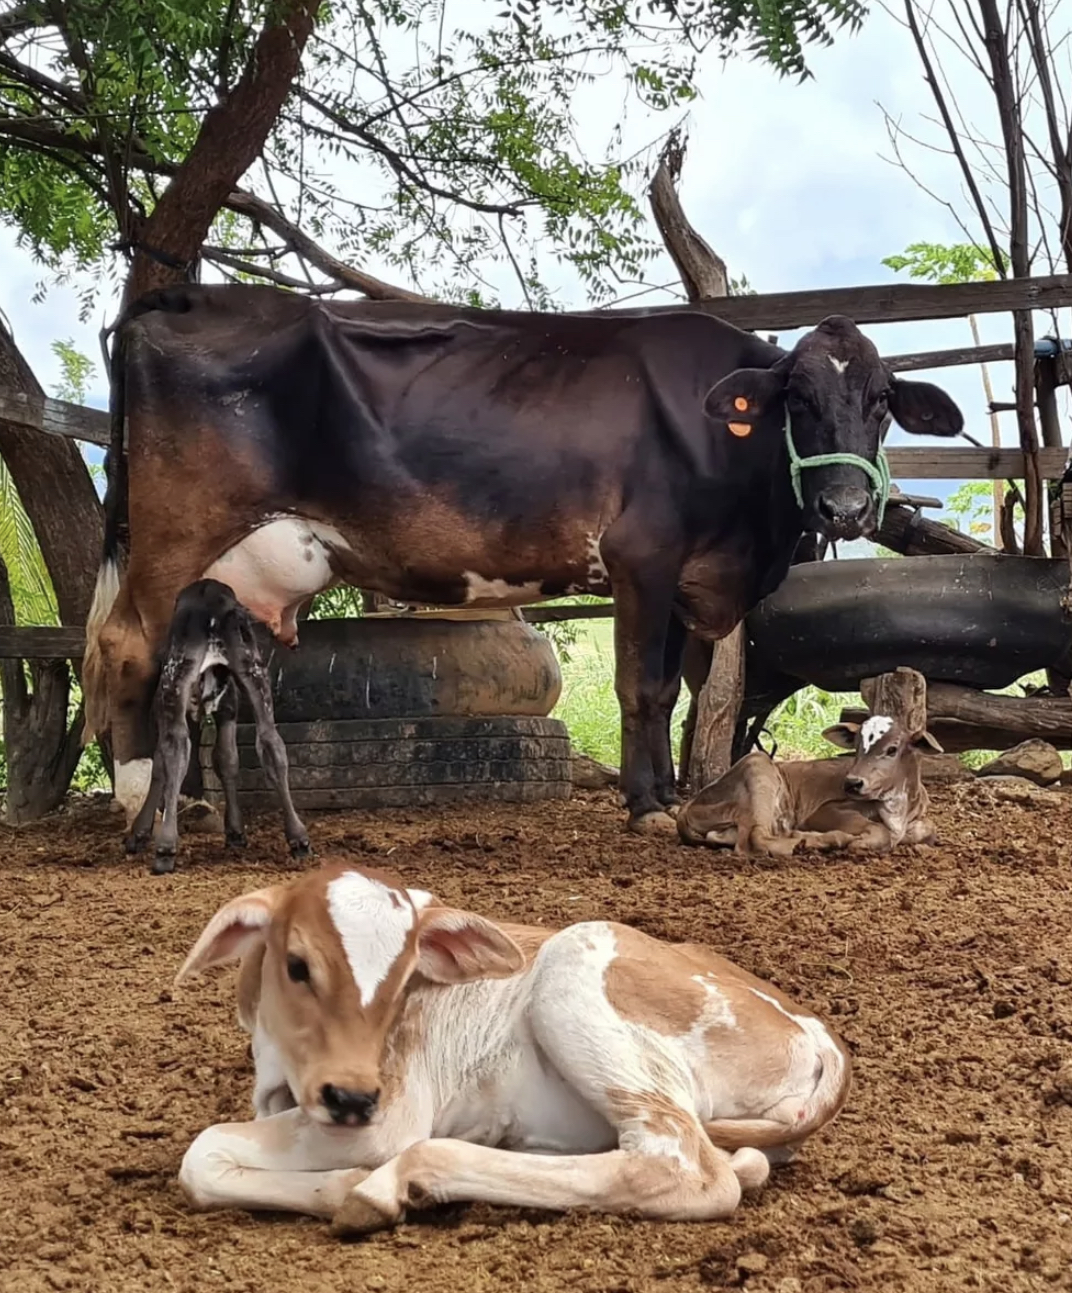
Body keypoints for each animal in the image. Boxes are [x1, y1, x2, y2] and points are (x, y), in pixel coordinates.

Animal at [83, 284, 962, 832]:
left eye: (881, 400)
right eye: (798, 399)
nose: (845, 507)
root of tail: (187, 295)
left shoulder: (689, 579)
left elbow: (672, 690)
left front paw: (668, 791)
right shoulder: (641, 557)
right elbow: (641, 687)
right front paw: (645, 804)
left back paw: (195, 801)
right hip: (174, 534)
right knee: (128, 649)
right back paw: (140, 794)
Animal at [127, 581, 309, 874]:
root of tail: (211, 599)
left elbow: (161, 764)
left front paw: (139, 833)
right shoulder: (228, 708)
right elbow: (227, 759)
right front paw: (235, 830)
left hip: (174, 678)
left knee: (176, 748)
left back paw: (165, 846)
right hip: (253, 671)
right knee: (271, 742)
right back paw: (299, 838)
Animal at [175, 858, 848, 1230]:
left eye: (404, 977)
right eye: (297, 966)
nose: (351, 1096)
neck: (283, 1069)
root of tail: (818, 1032)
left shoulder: (389, 1113)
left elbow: (202, 1152)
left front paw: (350, 1184)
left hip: (572, 970)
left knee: (685, 1167)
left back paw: (392, 1184)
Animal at [677, 718, 936, 858]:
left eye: (892, 749)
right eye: (856, 747)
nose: (852, 782)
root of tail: (690, 802)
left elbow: (928, 829)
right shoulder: (822, 812)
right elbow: (880, 831)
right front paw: (858, 842)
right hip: (758, 767)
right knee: (755, 838)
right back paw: (823, 840)